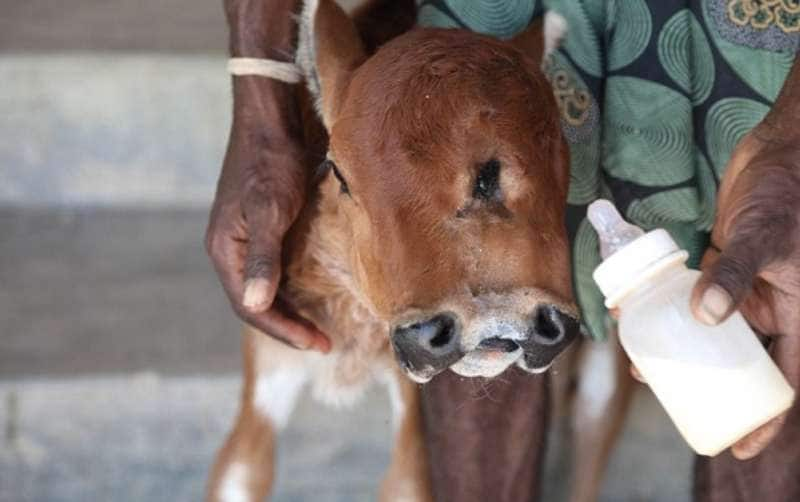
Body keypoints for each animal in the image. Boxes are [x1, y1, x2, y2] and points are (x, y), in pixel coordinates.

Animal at [206, 1, 576, 500]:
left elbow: (406, 480)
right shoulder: (267, 364)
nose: (490, 323)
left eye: (491, 172)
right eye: (337, 172)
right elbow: (240, 471)